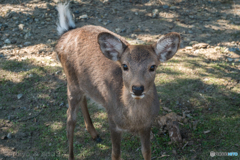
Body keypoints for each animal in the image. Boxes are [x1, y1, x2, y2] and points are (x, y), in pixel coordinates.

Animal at [55, 2, 179, 160]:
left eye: (153, 66)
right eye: (125, 66)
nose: (137, 88)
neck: (133, 121)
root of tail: (65, 33)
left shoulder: (147, 125)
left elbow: (147, 151)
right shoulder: (112, 120)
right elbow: (115, 154)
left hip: (82, 84)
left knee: (83, 100)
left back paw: (95, 134)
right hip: (71, 82)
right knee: (70, 118)